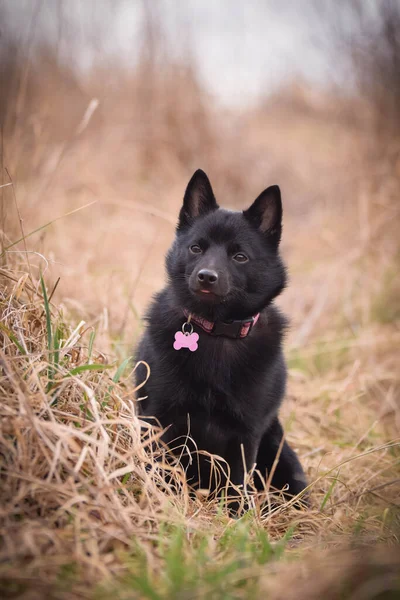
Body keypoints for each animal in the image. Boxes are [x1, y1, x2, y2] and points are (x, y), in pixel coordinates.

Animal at [136, 169, 308, 510]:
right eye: (196, 248)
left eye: (240, 256)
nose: (206, 276)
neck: (216, 330)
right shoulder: (157, 416)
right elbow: (157, 466)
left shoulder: (247, 433)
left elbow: (237, 481)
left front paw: (237, 515)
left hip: (279, 450)